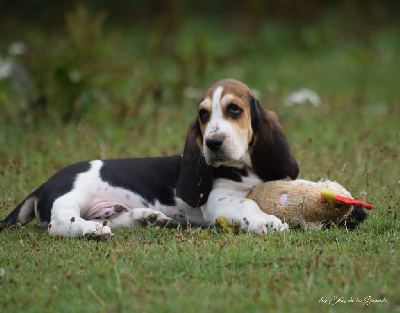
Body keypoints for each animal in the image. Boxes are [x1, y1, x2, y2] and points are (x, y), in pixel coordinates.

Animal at [0, 78, 298, 236]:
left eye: (234, 109)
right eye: (203, 114)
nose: (212, 143)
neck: (243, 170)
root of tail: (43, 185)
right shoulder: (222, 202)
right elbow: (249, 206)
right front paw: (268, 221)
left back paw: (145, 218)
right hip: (72, 195)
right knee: (61, 222)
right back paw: (92, 232)